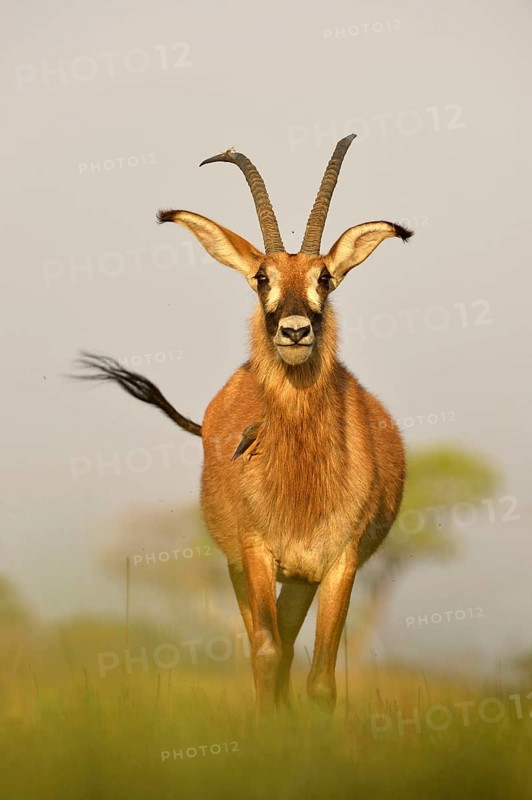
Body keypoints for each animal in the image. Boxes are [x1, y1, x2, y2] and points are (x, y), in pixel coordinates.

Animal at [77, 134, 412, 714]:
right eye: (262, 277)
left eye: (324, 277)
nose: (295, 331)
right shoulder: (255, 554)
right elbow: (267, 651)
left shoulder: (337, 564)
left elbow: (320, 678)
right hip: (242, 566)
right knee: (267, 646)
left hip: (299, 579)